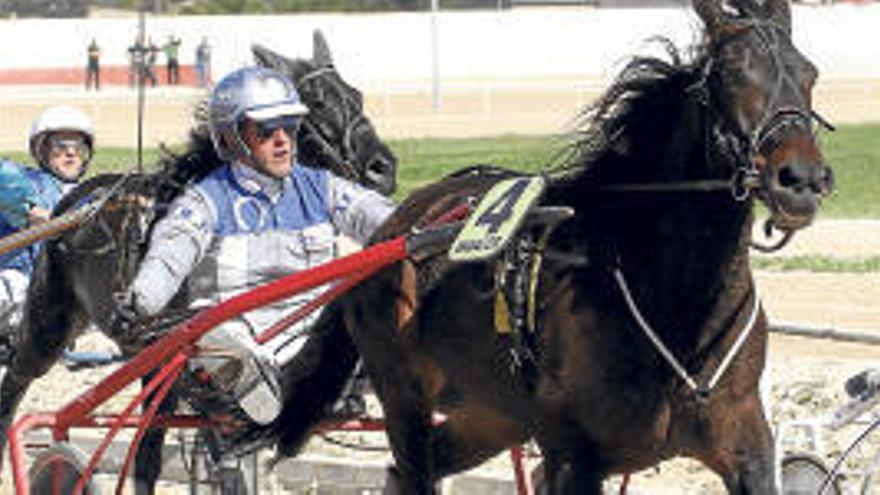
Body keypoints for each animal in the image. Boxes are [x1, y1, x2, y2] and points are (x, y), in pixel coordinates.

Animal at [336, 0, 832, 494]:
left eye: (809, 73)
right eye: (730, 72)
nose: (802, 179)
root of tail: (395, 224)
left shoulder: (744, 438)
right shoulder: (574, 456)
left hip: (493, 414)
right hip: (404, 397)